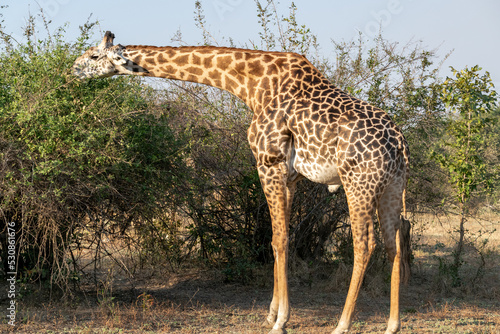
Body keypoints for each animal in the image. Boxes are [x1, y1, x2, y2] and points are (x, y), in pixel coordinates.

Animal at [73, 31, 410, 334]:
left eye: (94, 55)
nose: (74, 68)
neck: (251, 84)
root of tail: (399, 144)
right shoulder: (290, 175)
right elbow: (281, 237)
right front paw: (271, 314)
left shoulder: (268, 164)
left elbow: (278, 239)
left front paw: (281, 321)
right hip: (392, 186)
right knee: (393, 241)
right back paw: (392, 324)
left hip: (358, 183)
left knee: (365, 244)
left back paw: (342, 324)